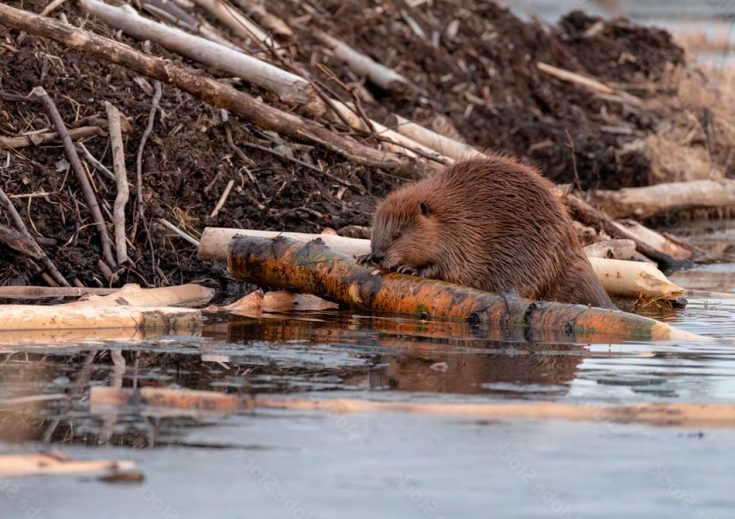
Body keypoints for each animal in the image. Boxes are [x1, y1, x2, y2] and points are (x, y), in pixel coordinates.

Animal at [356, 154, 616, 308]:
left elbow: (449, 267)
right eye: (375, 231)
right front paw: (363, 256)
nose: (378, 255)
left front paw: (410, 268)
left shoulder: (463, 236)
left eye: (398, 234)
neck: (447, 215)